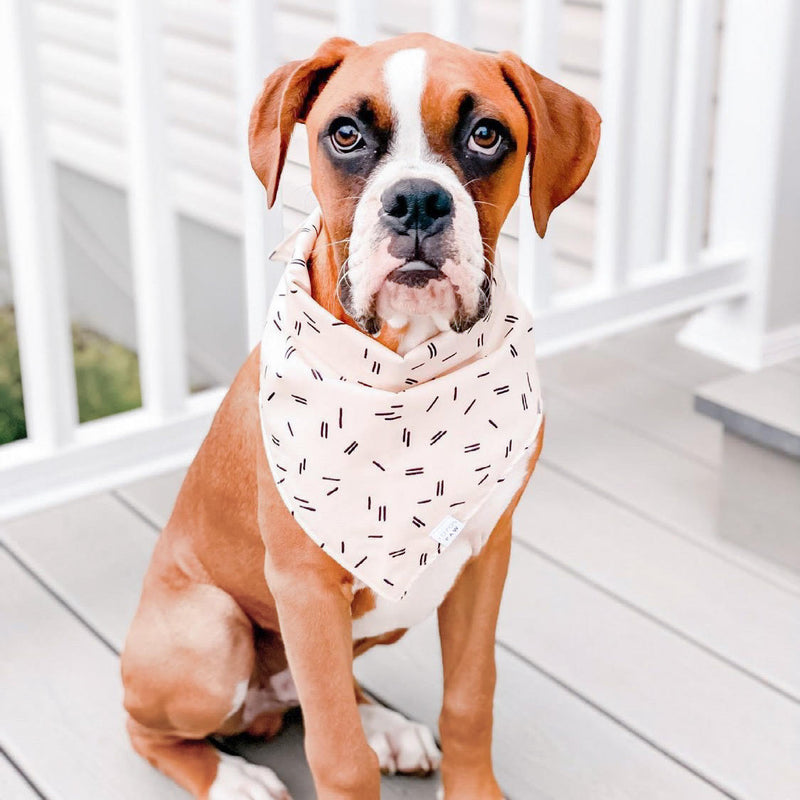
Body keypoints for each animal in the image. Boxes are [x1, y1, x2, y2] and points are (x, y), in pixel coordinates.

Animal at [120, 32, 600, 800]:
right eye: (345, 135)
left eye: (486, 134)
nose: (417, 200)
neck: (408, 370)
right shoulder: (306, 588)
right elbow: (338, 756)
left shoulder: (484, 558)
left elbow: (470, 698)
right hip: (211, 631)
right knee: (152, 729)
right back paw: (233, 777)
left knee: (330, 689)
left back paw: (385, 725)